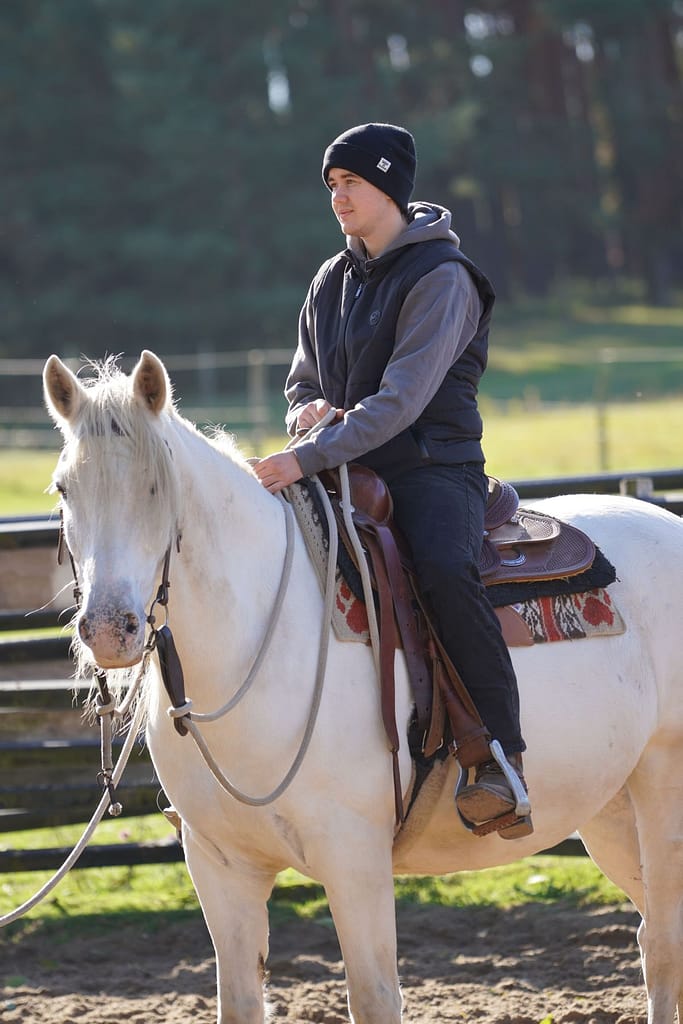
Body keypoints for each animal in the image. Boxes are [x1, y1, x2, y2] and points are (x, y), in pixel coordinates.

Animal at [43, 350, 683, 1024]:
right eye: (64, 488)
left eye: (156, 486)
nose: (109, 628)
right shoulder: (220, 866)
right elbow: (240, 999)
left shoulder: (355, 860)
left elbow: (375, 996)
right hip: (611, 809)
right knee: (649, 935)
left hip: (663, 790)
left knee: (666, 943)